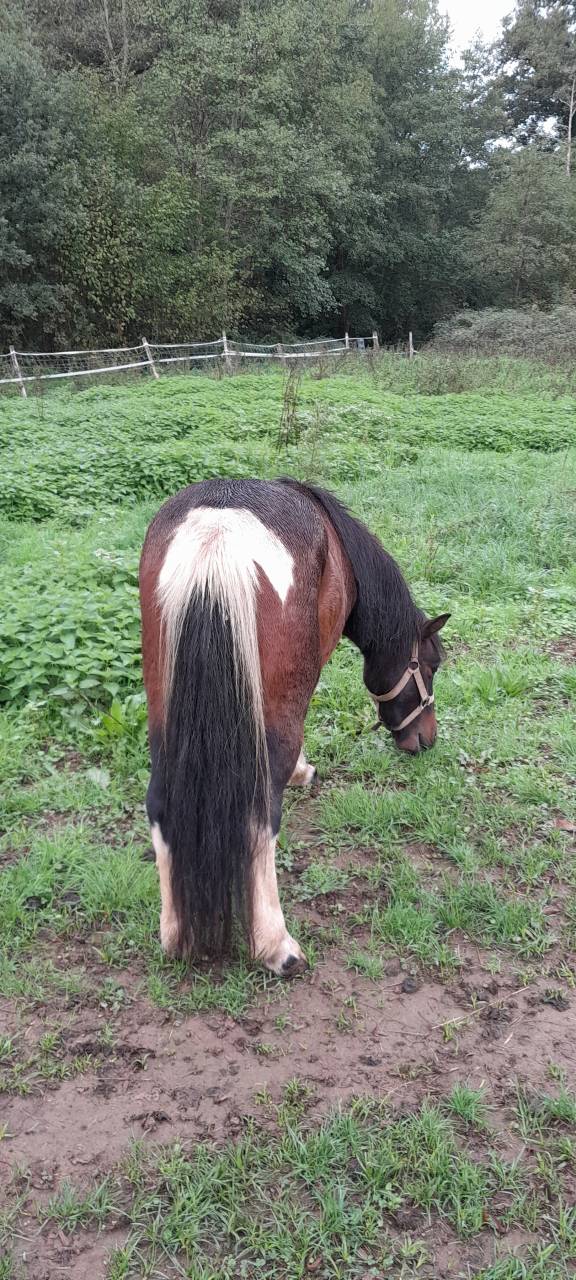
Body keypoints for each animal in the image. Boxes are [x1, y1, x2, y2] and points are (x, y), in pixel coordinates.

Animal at [139, 477, 449, 978]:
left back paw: (176, 938)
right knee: (260, 813)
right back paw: (276, 947)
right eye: (432, 664)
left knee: (160, 804)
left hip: (165, 718)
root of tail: (216, 533)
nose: (425, 739)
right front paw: (304, 771)